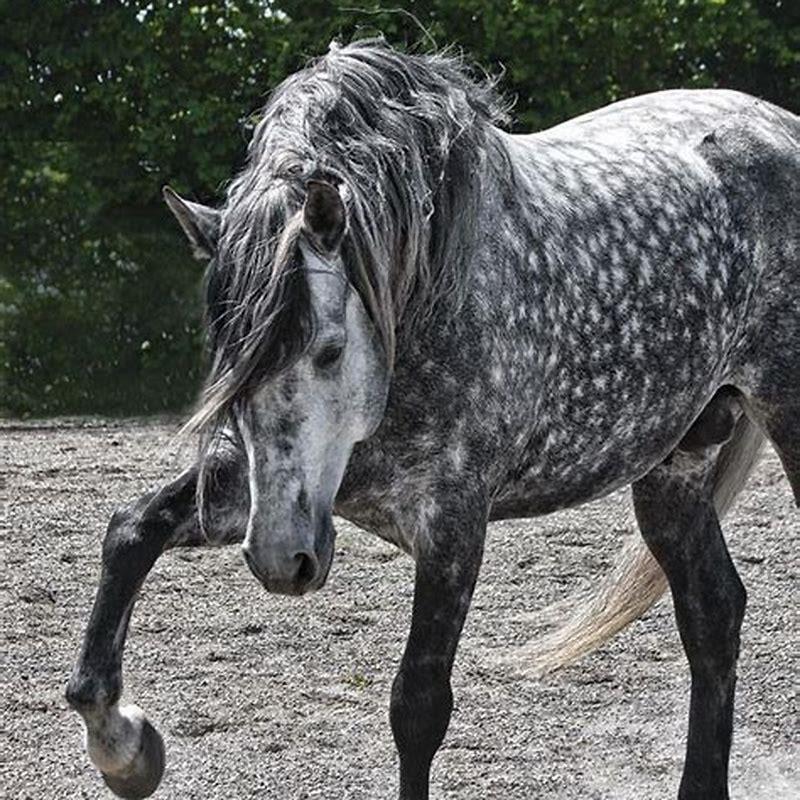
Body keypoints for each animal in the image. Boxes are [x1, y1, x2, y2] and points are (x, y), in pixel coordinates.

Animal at [66, 39, 799, 800]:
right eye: (231, 361)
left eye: (327, 348)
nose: (280, 561)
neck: (418, 304)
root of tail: (780, 126)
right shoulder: (273, 492)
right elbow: (132, 530)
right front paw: (123, 746)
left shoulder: (450, 524)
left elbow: (418, 706)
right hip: (673, 468)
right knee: (714, 615)